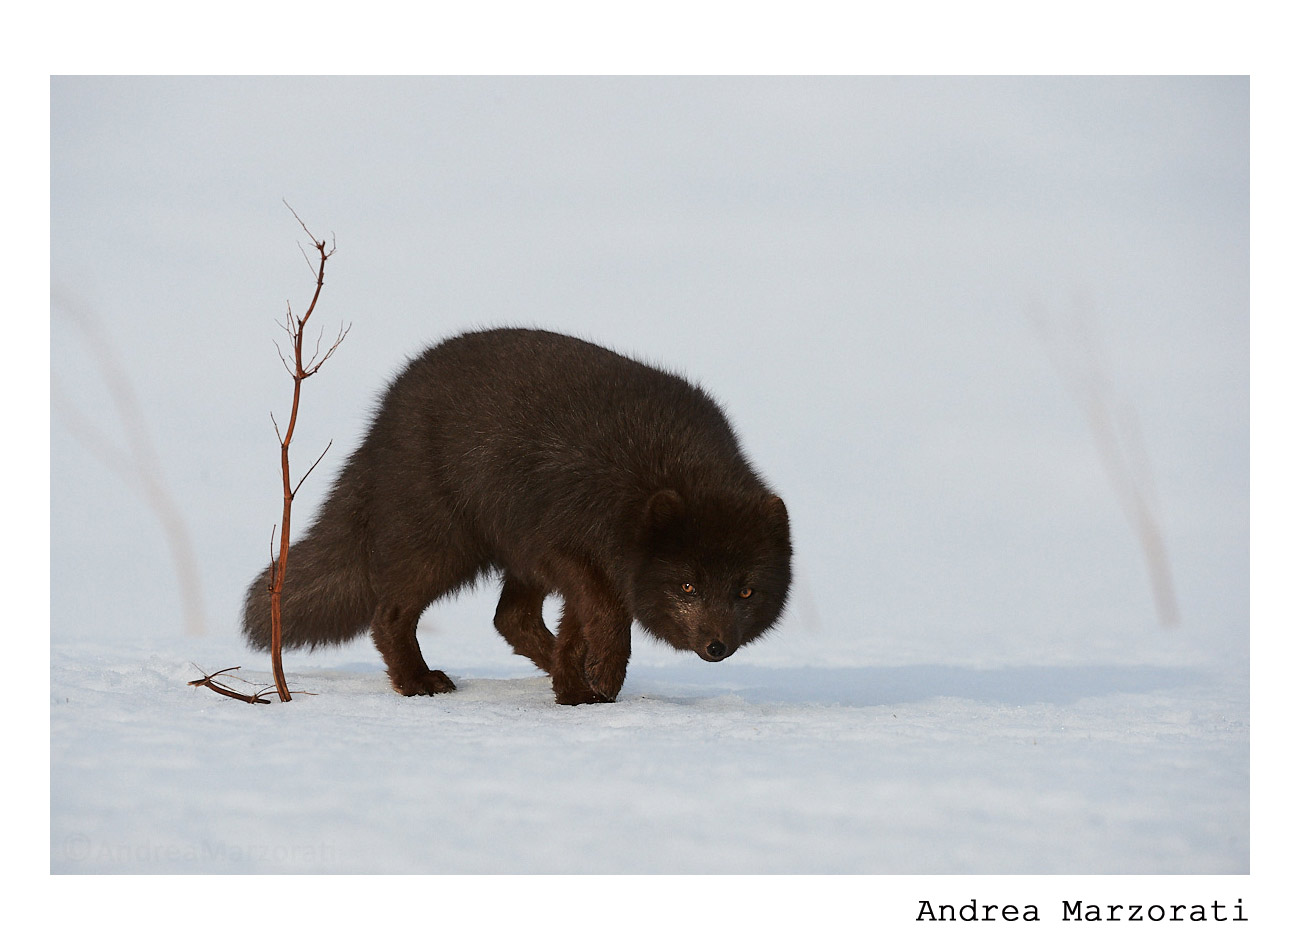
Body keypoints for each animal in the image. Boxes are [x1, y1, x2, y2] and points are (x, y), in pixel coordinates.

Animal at [242, 328, 792, 704]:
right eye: (688, 587)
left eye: (745, 592)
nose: (717, 646)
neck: (658, 473)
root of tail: (382, 419)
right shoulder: (562, 547)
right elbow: (607, 613)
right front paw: (601, 675)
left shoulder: (572, 561)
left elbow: (578, 624)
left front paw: (579, 689)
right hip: (446, 546)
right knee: (390, 614)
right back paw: (418, 682)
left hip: (508, 557)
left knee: (509, 619)